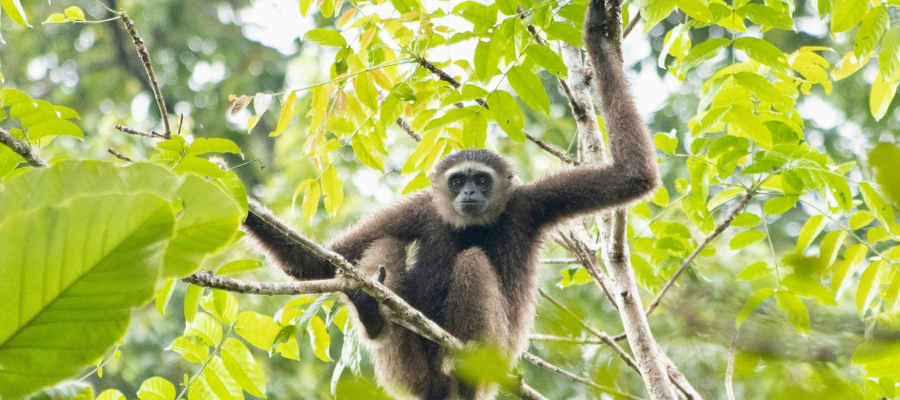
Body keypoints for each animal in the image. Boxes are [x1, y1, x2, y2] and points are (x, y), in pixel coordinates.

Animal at [241, 0, 659, 398]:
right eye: (458, 182)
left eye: (481, 181)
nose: (470, 192)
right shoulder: (423, 208)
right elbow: (311, 263)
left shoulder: (533, 202)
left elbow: (633, 176)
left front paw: (597, 36)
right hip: (407, 370)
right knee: (387, 243)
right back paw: (371, 316)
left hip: (495, 361)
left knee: (472, 262)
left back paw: (461, 365)